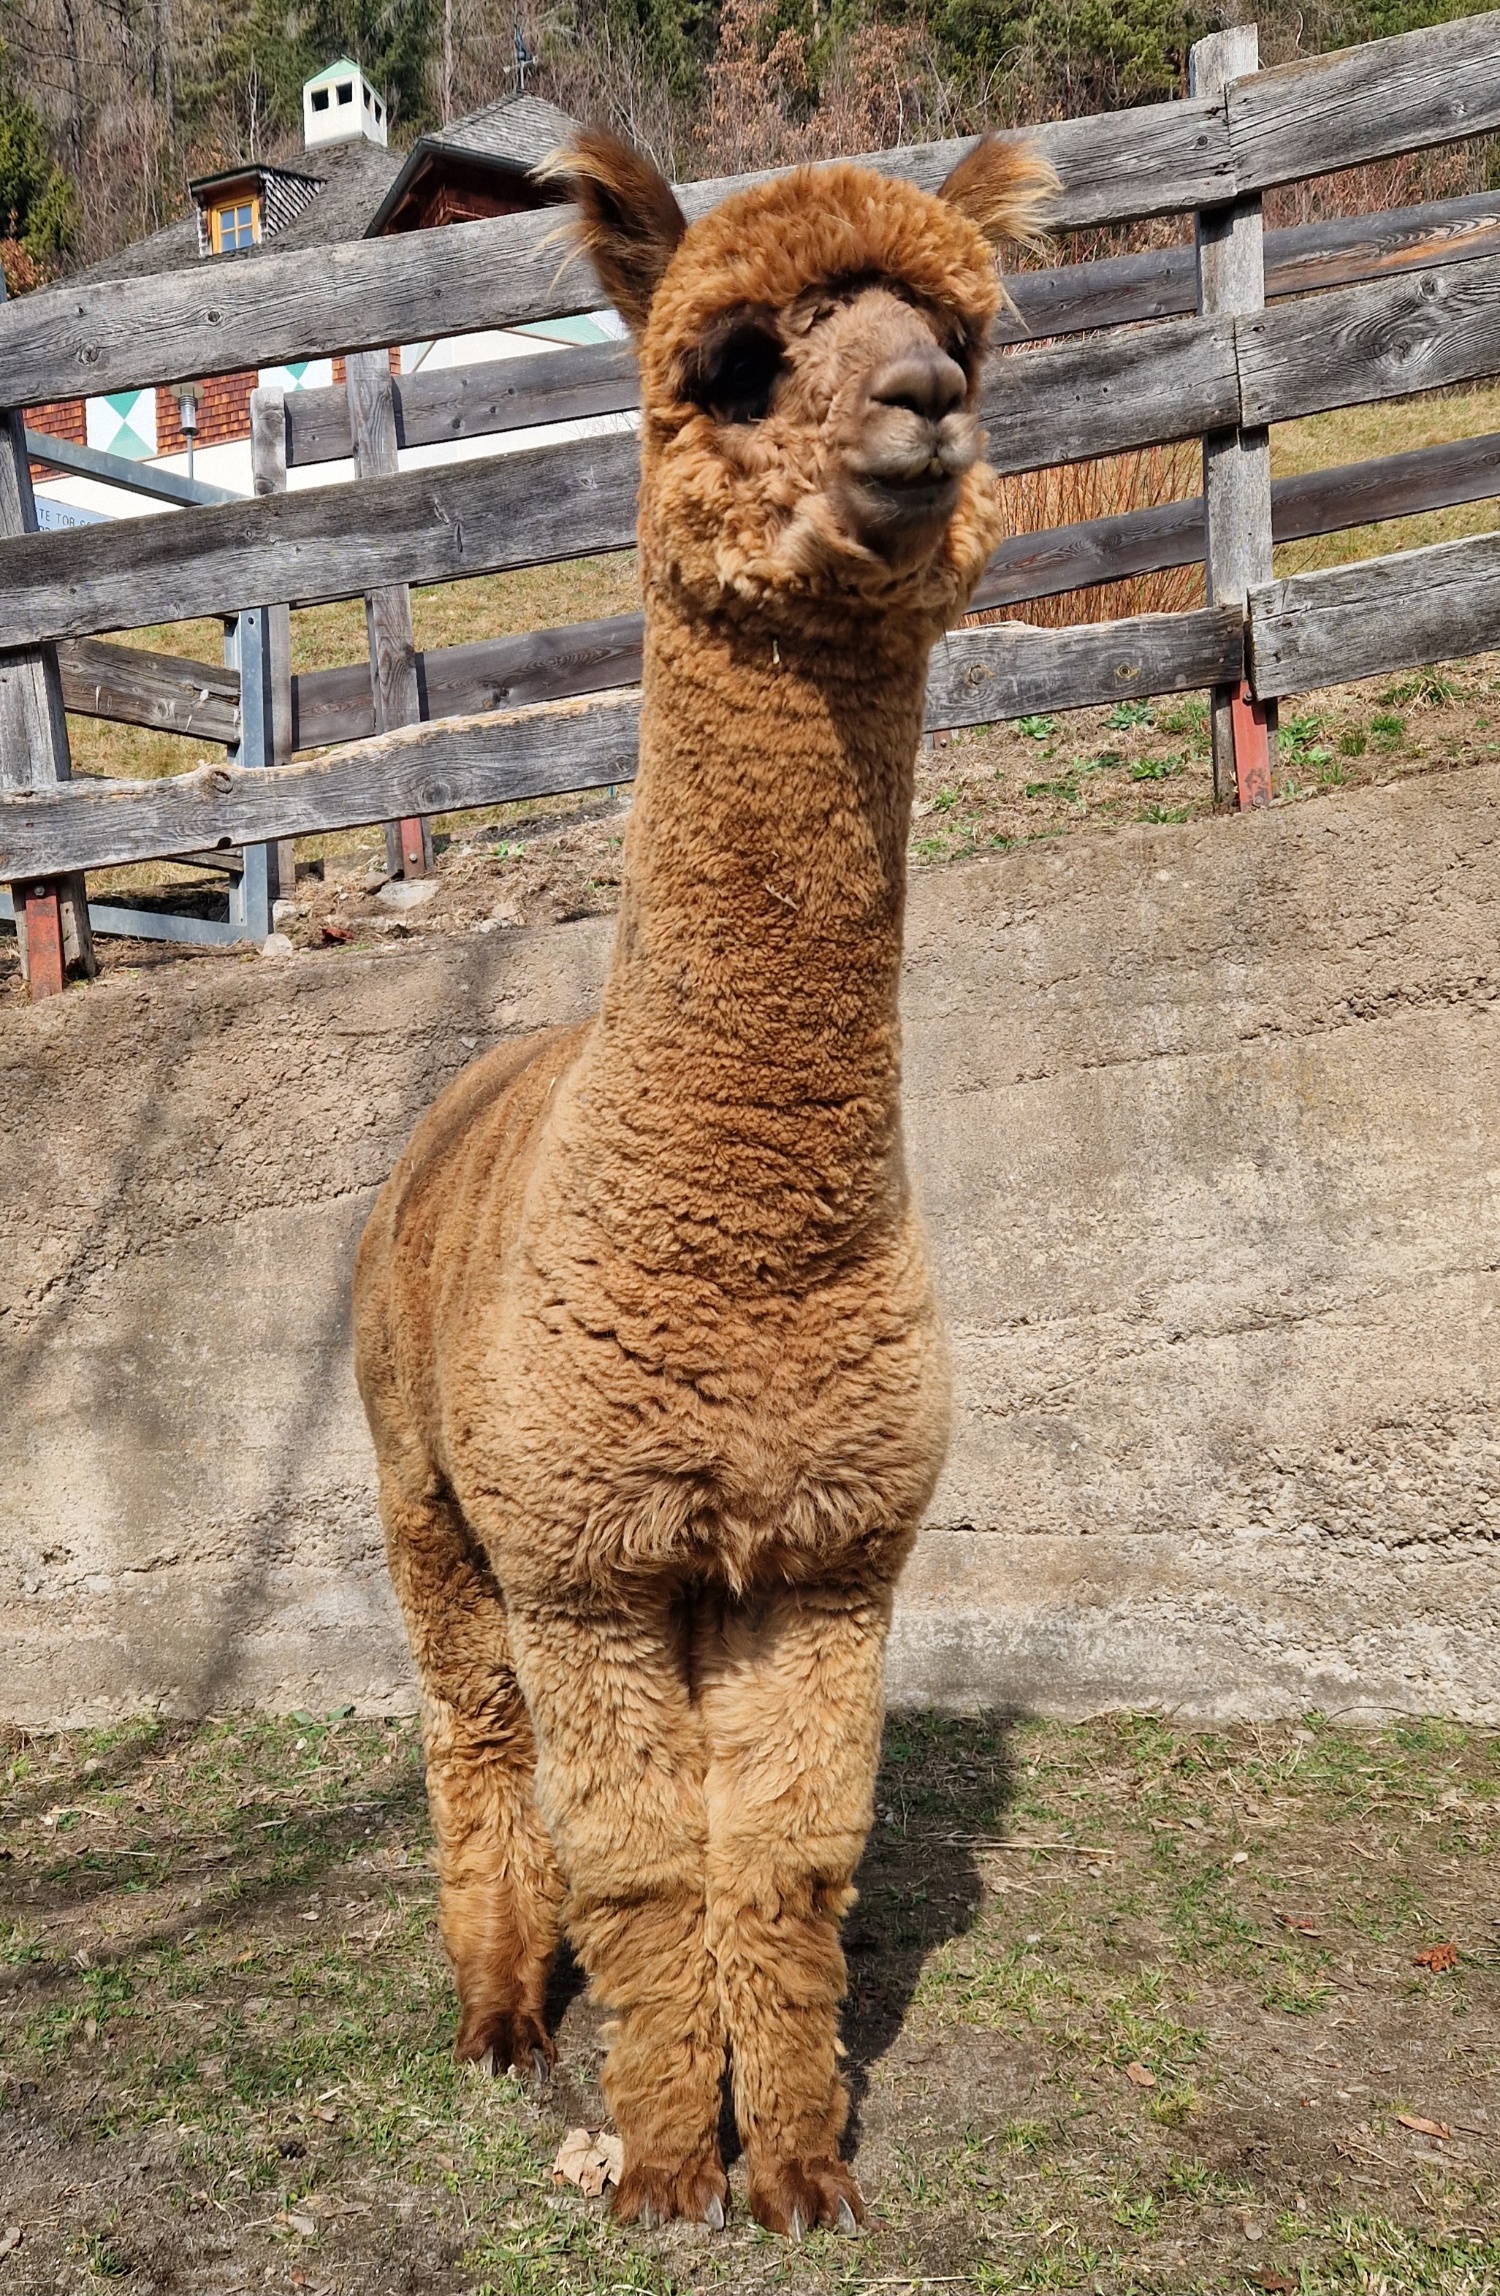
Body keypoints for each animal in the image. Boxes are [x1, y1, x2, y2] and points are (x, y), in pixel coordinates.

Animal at [353, 126, 1055, 2237]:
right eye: (734, 361)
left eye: (966, 331)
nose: (924, 404)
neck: (736, 1260)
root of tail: (483, 1072)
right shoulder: (590, 1558)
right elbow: (653, 1866)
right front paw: (667, 2163)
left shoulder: (825, 1554)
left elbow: (784, 1863)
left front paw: (800, 2163)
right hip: (429, 1491)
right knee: (472, 1732)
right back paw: (504, 2010)